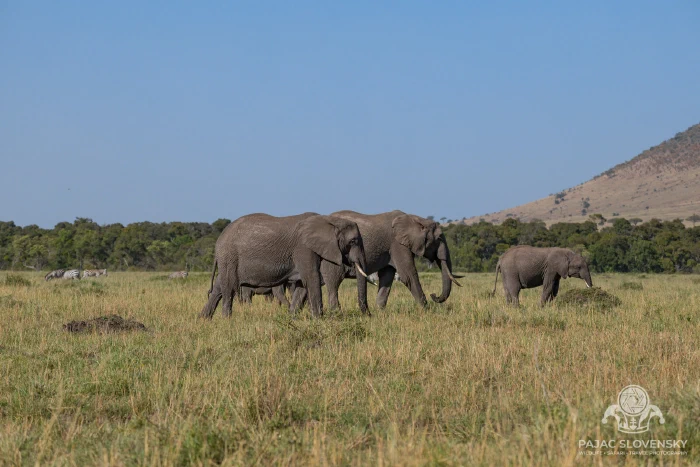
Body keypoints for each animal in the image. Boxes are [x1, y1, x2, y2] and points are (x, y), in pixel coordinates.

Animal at [199, 213, 370, 319]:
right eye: (353, 241)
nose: (369, 316)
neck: (329, 220)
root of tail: (219, 239)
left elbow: (302, 285)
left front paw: (292, 318)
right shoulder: (303, 248)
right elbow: (312, 278)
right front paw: (320, 320)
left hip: (228, 260)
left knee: (219, 287)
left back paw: (204, 319)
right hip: (229, 257)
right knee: (229, 289)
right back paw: (226, 320)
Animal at [293, 211, 462, 314]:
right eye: (439, 238)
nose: (434, 295)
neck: (415, 219)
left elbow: (387, 277)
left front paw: (381, 312)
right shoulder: (397, 245)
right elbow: (408, 275)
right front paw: (426, 311)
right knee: (333, 282)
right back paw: (336, 313)